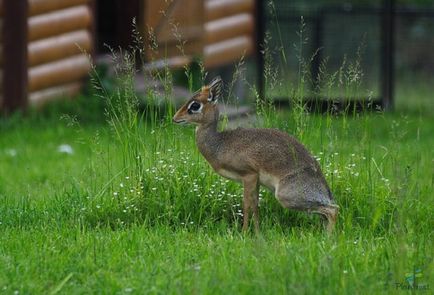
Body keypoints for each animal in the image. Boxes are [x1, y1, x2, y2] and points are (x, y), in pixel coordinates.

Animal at [173, 77, 340, 234]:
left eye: (195, 105)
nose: (175, 118)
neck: (220, 144)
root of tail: (325, 189)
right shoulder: (256, 181)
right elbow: (255, 205)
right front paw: (257, 232)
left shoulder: (248, 175)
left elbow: (246, 204)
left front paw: (244, 232)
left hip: (285, 196)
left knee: (333, 209)